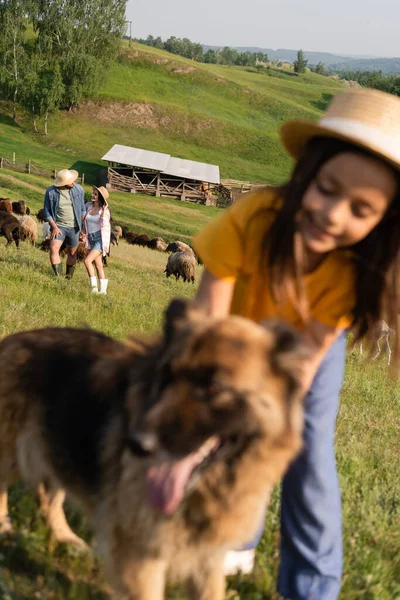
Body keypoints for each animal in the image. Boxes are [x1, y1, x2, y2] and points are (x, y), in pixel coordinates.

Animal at [0, 302, 304, 596]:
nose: (136, 443)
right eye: (166, 377)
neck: (210, 485)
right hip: (15, 453)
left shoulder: (206, 557)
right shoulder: (139, 552)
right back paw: (5, 526)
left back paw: (66, 537)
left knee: (47, 495)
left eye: (214, 387)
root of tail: (11, 340)